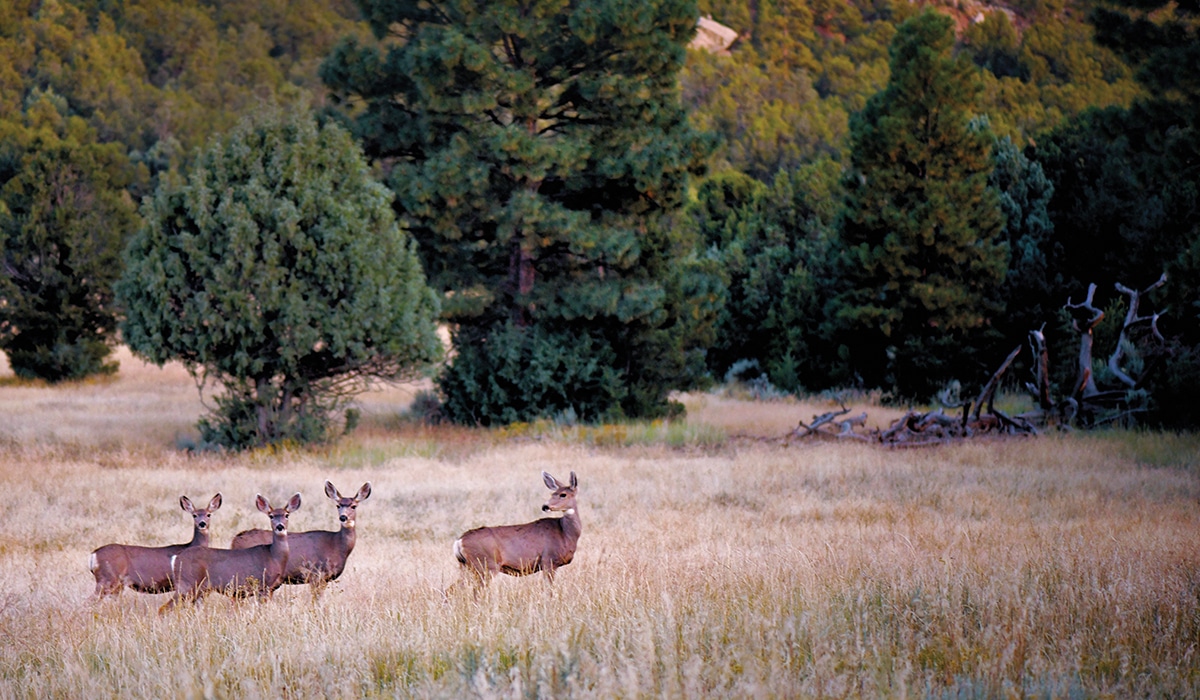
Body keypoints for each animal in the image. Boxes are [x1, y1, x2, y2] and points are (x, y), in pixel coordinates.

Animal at [88, 492, 223, 597]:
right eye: (194, 515)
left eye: (208, 514)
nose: (202, 523)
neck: (190, 545)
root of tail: (93, 554)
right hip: (107, 579)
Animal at [160, 492, 302, 614]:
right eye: (271, 516)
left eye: (287, 515)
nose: (280, 526)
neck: (273, 556)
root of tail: (176, 558)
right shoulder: (263, 585)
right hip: (187, 583)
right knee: (163, 609)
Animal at [228, 482, 369, 597]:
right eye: (338, 505)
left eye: (354, 506)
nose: (343, 517)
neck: (336, 544)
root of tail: (235, 539)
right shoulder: (316, 574)